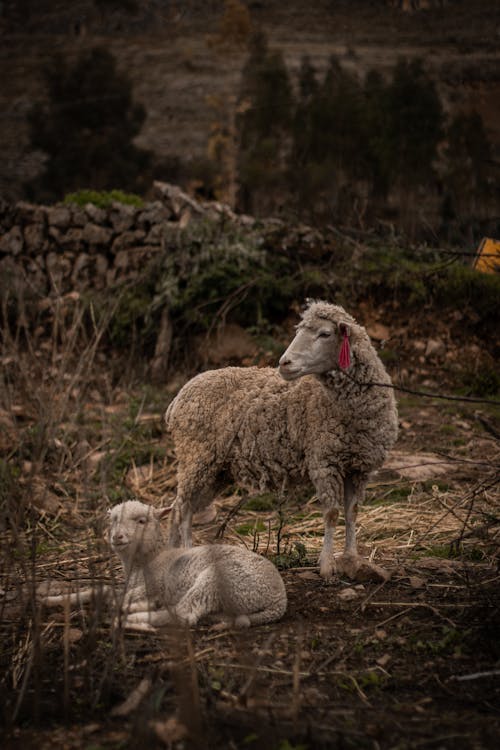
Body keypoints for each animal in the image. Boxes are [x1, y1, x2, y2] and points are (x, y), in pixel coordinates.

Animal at [42, 502, 290, 632]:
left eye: (142, 521)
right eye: (113, 520)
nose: (117, 537)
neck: (147, 561)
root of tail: (279, 600)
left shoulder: (153, 585)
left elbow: (112, 596)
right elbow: (99, 590)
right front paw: (51, 599)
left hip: (221, 580)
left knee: (184, 615)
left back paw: (132, 620)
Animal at [164, 300, 398, 580]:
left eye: (325, 334)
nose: (284, 363)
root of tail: (178, 397)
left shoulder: (359, 467)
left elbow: (352, 513)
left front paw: (352, 559)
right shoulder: (324, 462)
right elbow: (331, 514)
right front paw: (327, 564)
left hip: (216, 469)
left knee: (181, 508)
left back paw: (173, 558)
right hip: (195, 456)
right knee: (182, 509)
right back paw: (187, 555)